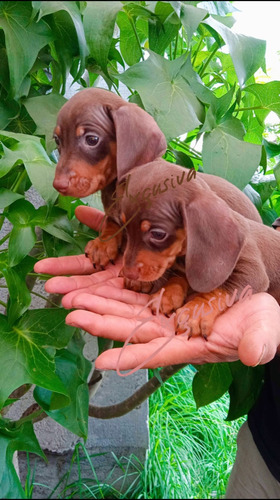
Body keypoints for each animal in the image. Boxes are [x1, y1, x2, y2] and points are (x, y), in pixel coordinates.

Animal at [116, 162, 280, 338]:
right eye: (125, 226)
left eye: (158, 234)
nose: (128, 273)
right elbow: (179, 279)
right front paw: (167, 295)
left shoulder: (252, 271)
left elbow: (216, 292)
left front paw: (195, 312)